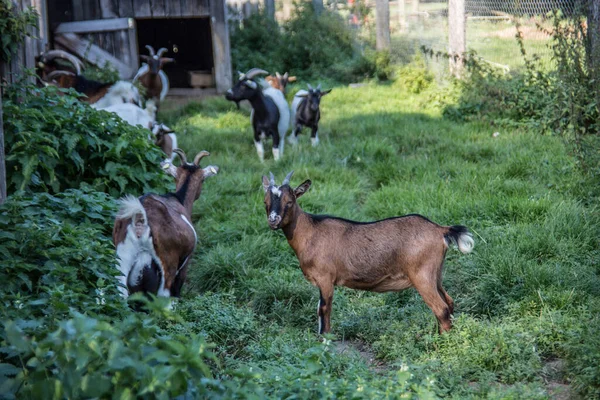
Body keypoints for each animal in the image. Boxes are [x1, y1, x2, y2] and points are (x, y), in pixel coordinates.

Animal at [112, 148, 218, 298]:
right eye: (203, 179)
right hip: (168, 264)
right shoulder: (186, 262)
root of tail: (140, 220)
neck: (178, 198)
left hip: (122, 256)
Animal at [260, 172, 476, 334]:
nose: (273, 220)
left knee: (441, 309)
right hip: (436, 274)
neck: (310, 231)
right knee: (449, 303)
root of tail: (440, 230)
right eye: (265, 201)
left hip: (421, 275)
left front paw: (324, 342)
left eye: (289, 201)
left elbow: (324, 311)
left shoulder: (325, 278)